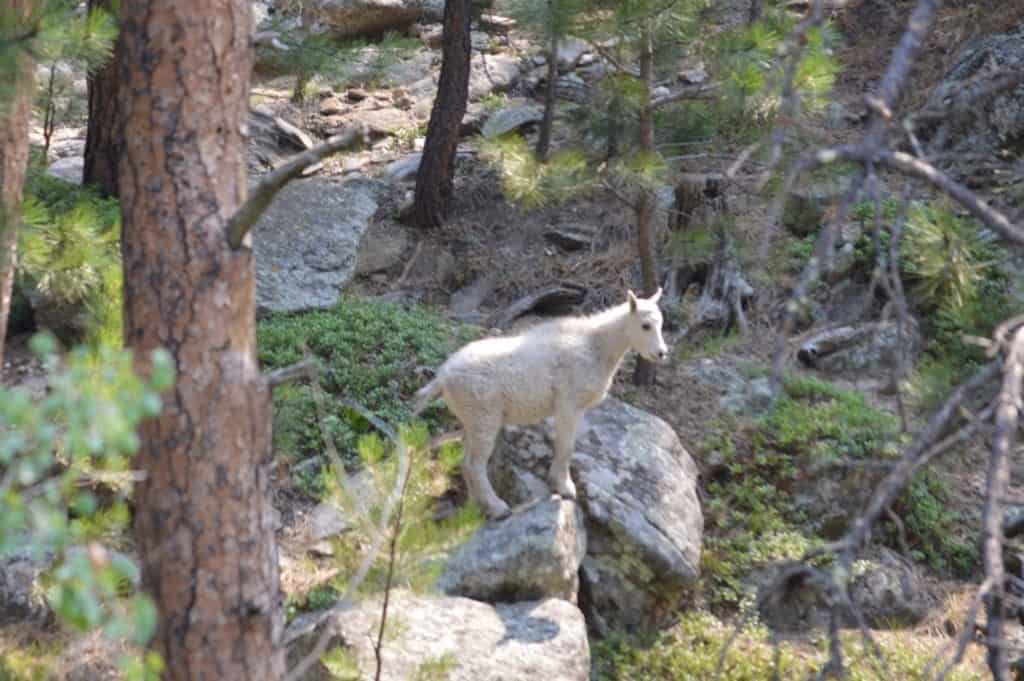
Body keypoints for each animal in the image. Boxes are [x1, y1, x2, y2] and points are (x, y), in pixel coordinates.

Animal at [411, 288, 667, 518]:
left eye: (661, 324)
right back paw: (498, 507)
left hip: (470, 420)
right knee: (475, 464)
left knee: (465, 463)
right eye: (645, 325)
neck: (596, 347)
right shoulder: (568, 403)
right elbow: (566, 446)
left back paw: (475, 507)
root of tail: (443, 377)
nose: (661, 353)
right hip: (485, 416)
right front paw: (565, 487)